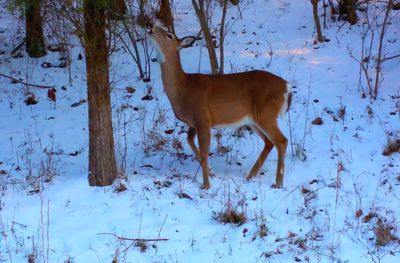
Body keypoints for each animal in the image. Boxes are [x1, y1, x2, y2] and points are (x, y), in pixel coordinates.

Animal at [148, 24, 292, 190]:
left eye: (169, 35)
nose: (151, 26)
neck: (183, 89)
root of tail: (287, 87)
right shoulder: (193, 122)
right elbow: (190, 141)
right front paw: (211, 172)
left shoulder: (203, 119)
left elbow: (204, 154)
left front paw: (206, 186)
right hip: (252, 120)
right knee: (269, 142)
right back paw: (250, 176)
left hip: (266, 114)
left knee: (281, 140)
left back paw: (278, 183)